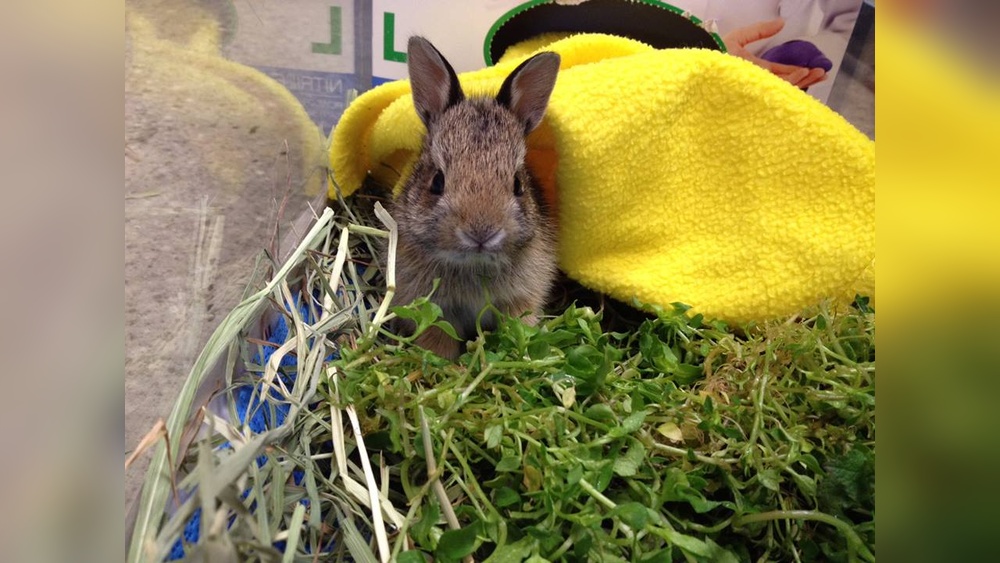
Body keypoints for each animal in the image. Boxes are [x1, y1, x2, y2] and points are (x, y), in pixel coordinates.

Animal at [390, 36, 561, 360]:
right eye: (437, 181)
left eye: (518, 184)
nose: (481, 233)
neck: (472, 263)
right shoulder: (428, 305)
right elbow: (437, 336)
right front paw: (443, 364)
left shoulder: (522, 297)